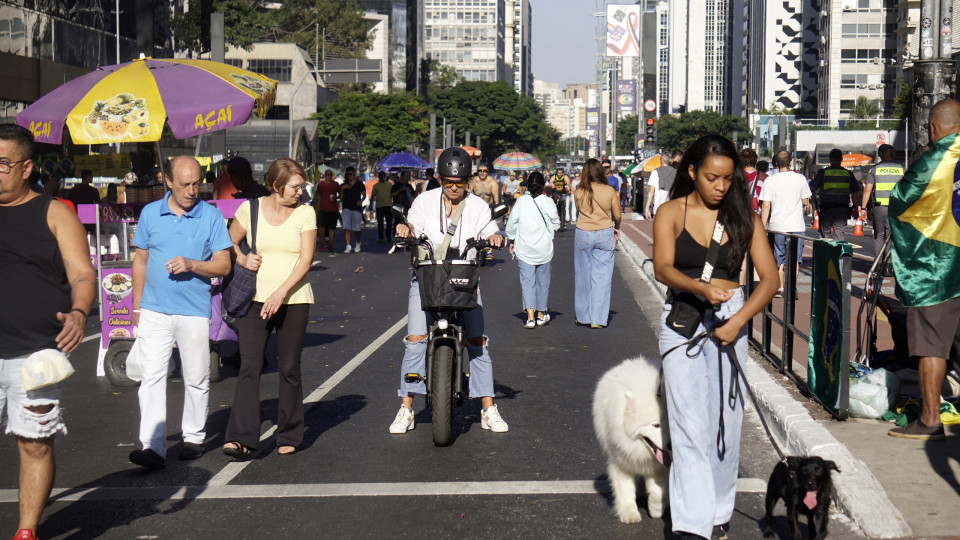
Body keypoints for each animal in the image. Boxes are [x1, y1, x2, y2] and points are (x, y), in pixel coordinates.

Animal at [592, 356, 668, 524]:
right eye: (656, 425)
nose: (671, 445)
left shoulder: (659, 467)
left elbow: (657, 491)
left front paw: (656, 510)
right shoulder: (621, 460)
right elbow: (625, 489)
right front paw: (629, 514)